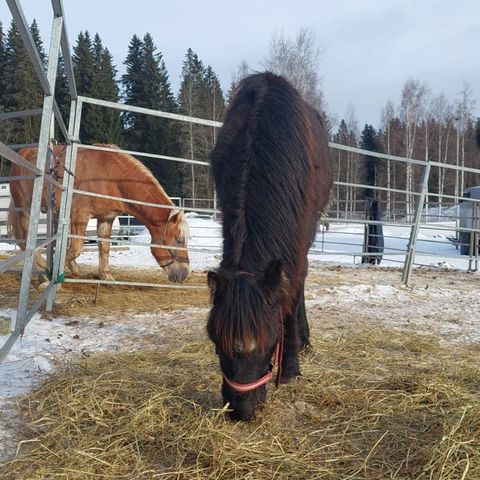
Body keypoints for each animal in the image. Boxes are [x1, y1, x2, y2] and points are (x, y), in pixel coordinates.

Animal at [9, 144, 189, 284]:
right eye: (179, 240)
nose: (184, 273)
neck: (112, 177)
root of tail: (22, 152)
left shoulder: (105, 219)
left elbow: (104, 247)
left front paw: (105, 275)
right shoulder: (79, 217)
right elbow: (76, 249)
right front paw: (50, 275)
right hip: (25, 208)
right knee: (26, 237)